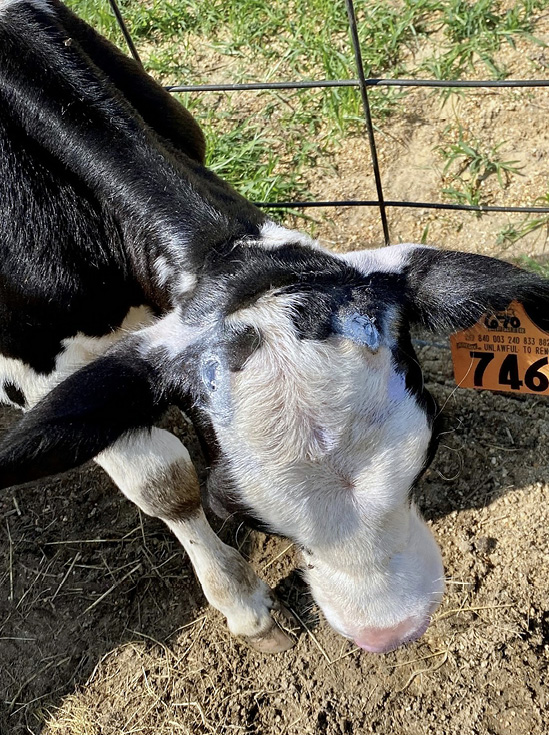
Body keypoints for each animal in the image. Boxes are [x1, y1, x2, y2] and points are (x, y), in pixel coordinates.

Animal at [2, 0, 544, 656]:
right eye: (237, 511)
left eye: (431, 446)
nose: (391, 630)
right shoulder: (33, 361)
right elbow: (163, 481)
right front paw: (245, 607)